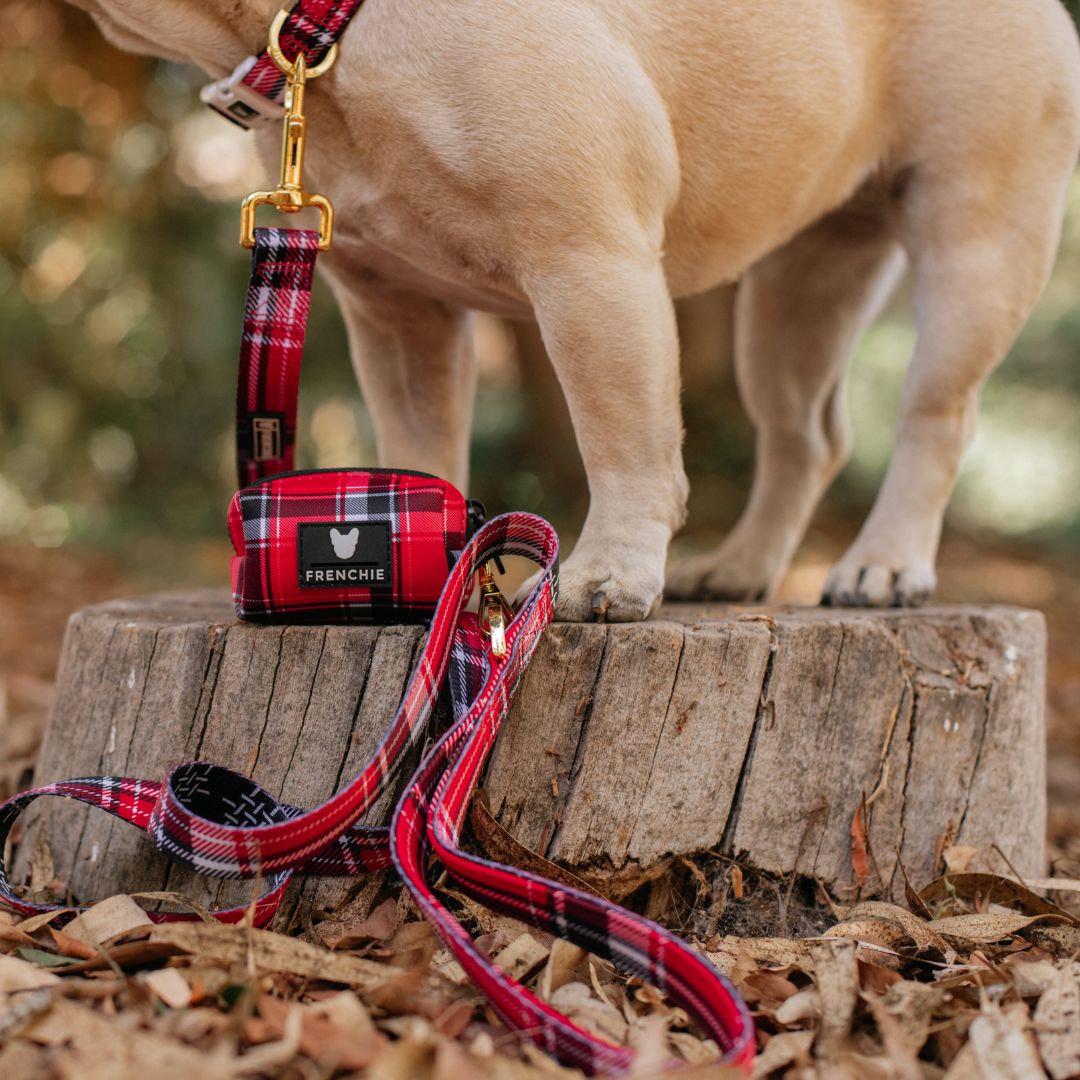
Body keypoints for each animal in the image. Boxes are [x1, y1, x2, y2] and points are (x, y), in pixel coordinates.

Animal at [69, 0, 1080, 622]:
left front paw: (609, 577)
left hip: (976, 235)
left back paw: (884, 565)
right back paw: (743, 566)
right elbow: (420, 438)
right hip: (803, 280)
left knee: (938, 414)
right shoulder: (398, 311)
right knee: (804, 432)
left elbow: (621, 435)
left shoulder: (588, 264)